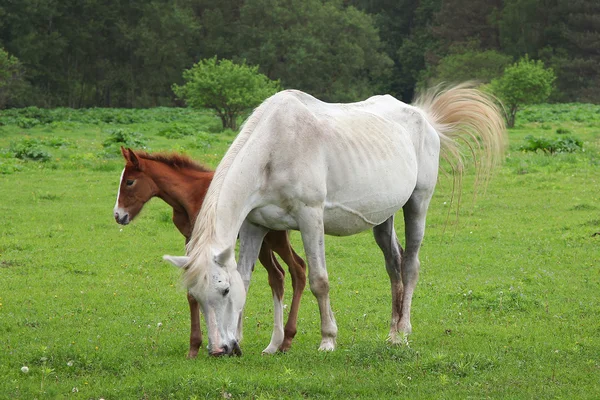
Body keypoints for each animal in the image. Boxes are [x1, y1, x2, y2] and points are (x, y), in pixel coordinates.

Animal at [164, 82, 506, 356]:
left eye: (222, 291)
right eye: (195, 296)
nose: (219, 349)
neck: (273, 149)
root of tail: (424, 118)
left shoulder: (310, 217)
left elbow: (319, 280)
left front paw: (328, 339)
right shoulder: (254, 225)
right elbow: (246, 280)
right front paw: (255, 341)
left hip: (417, 203)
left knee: (410, 266)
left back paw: (404, 331)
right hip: (383, 218)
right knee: (393, 266)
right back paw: (392, 332)